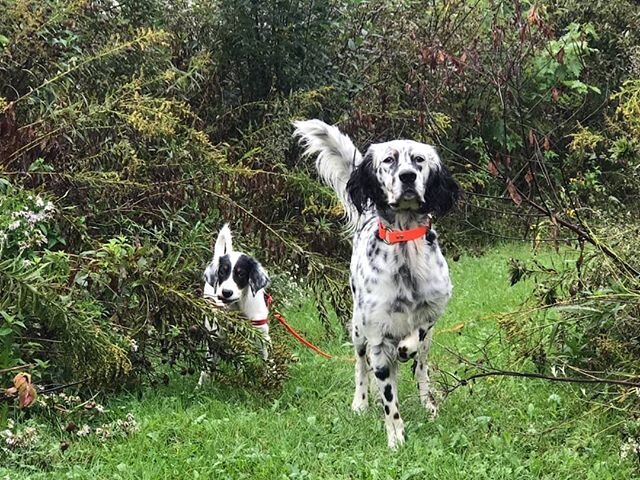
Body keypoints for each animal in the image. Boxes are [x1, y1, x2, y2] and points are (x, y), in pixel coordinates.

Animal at [199, 224, 272, 386]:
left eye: (241, 274)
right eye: (222, 272)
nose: (226, 292)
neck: (239, 307)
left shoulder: (262, 335)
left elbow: (268, 361)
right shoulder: (215, 335)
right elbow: (207, 363)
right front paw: (200, 386)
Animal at [292, 119, 458, 446]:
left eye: (419, 160)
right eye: (389, 160)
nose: (407, 177)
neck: (405, 247)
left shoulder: (434, 308)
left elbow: (416, 334)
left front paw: (407, 348)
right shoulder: (377, 337)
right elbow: (388, 400)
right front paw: (396, 439)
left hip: (426, 345)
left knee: (422, 368)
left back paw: (428, 402)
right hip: (357, 327)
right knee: (360, 365)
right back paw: (360, 402)